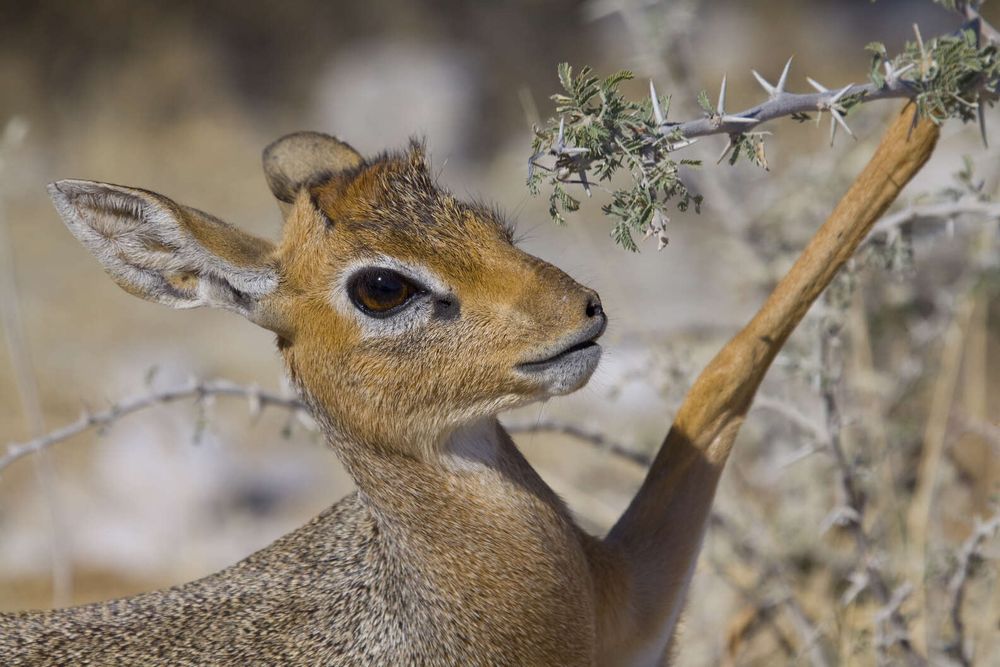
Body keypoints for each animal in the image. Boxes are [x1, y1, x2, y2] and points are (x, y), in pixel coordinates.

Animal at [0, 104, 938, 666]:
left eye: (486, 221)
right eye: (383, 285)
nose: (583, 311)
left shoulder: (629, 610)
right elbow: (728, 365)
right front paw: (920, 118)